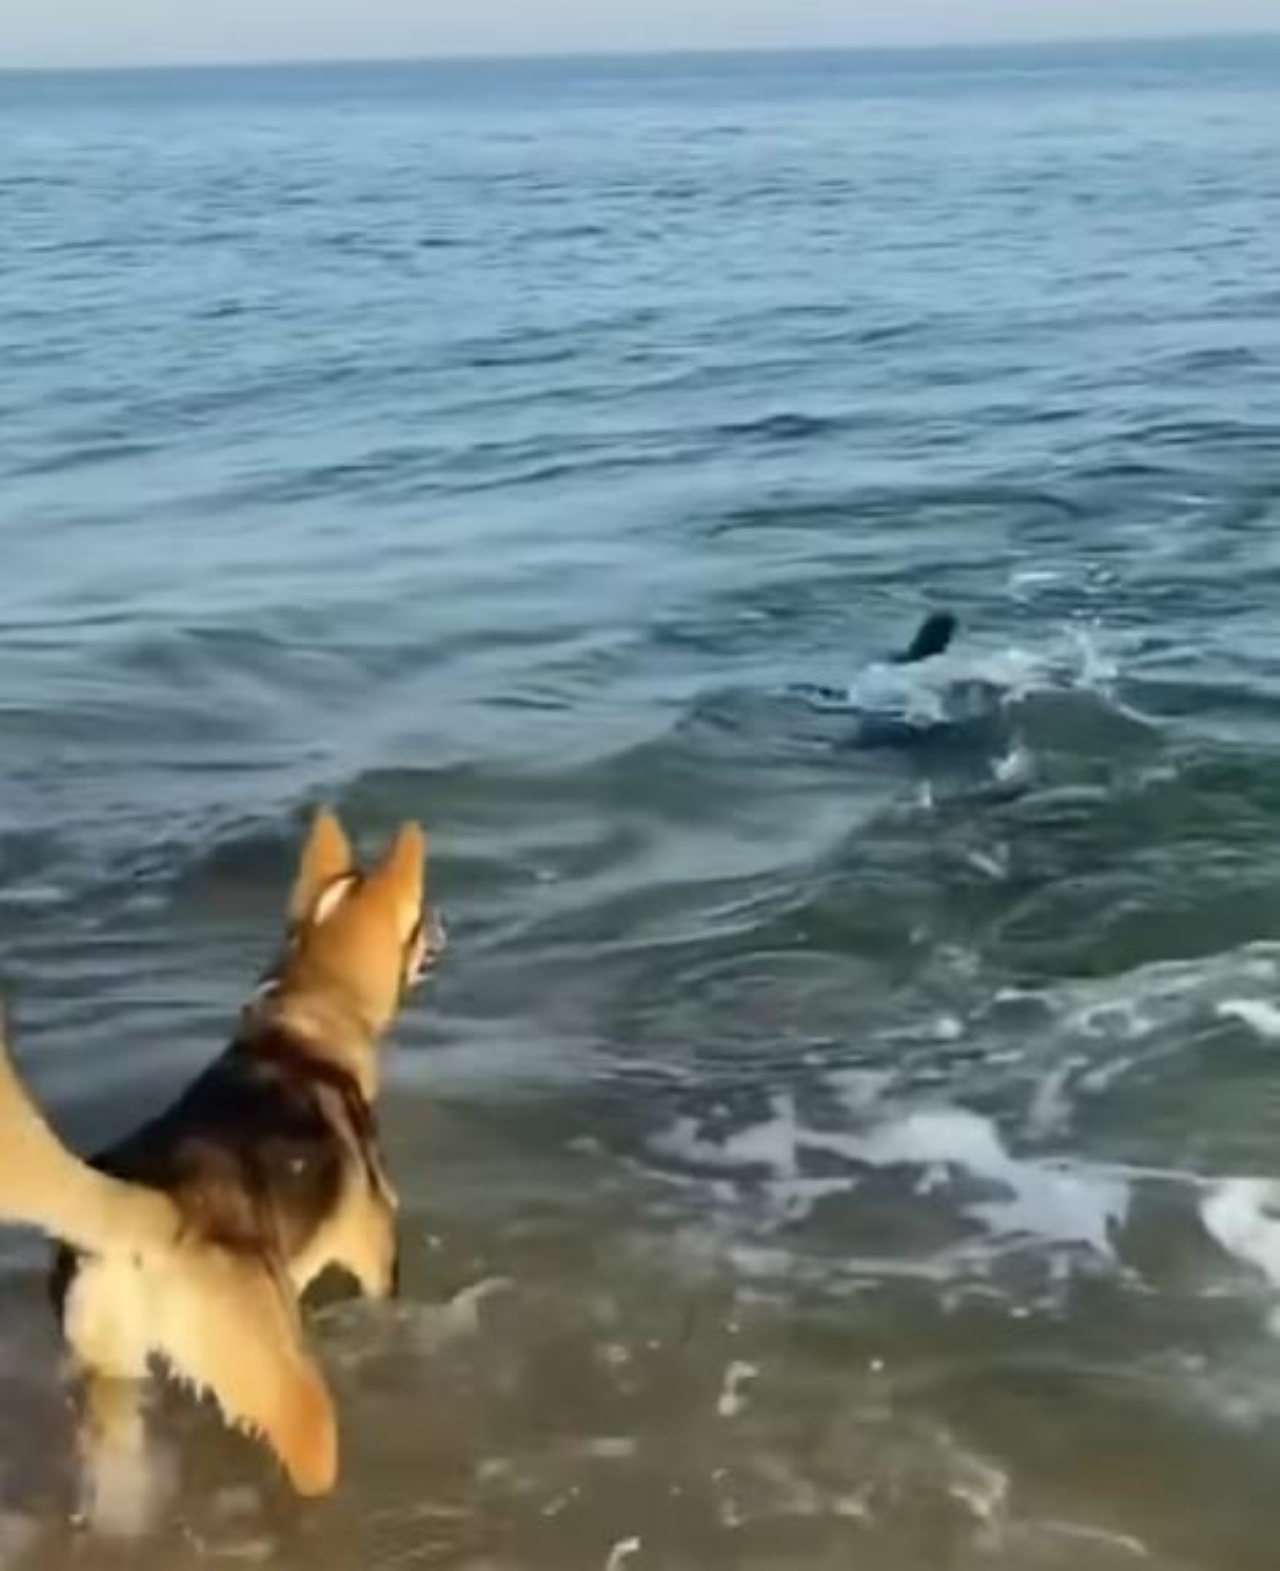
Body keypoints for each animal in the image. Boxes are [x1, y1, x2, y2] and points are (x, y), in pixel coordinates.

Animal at [0, 810, 446, 1520]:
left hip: (112, 1381)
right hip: (290, 1392)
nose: (445, 926)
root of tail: (151, 1212)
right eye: (419, 918)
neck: (307, 1020)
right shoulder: (374, 1261)